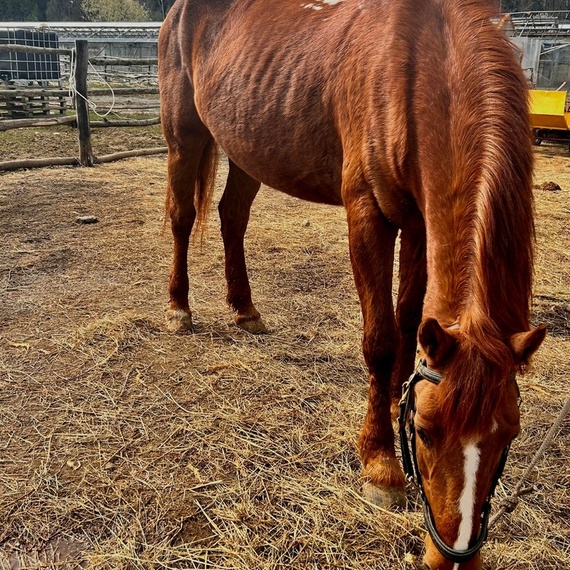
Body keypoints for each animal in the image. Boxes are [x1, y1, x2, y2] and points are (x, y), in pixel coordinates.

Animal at [158, 2, 544, 564]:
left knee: (233, 216)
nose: (452, 557)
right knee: (183, 216)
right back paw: (179, 308)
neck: (418, 64)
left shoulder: (419, 221)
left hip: (248, 146)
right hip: (183, 136)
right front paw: (381, 465)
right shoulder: (368, 215)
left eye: (509, 433)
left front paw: (391, 411)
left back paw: (245, 309)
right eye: (426, 432)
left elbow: (408, 324)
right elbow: (380, 341)